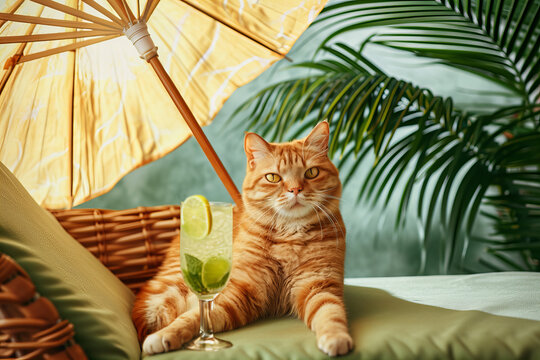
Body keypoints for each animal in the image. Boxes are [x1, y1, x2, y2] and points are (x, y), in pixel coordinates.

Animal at [132, 121, 352, 358]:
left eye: (311, 172)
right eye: (273, 177)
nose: (295, 189)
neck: (290, 236)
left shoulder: (319, 285)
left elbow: (331, 314)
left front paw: (337, 338)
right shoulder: (239, 292)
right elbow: (192, 317)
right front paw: (165, 335)